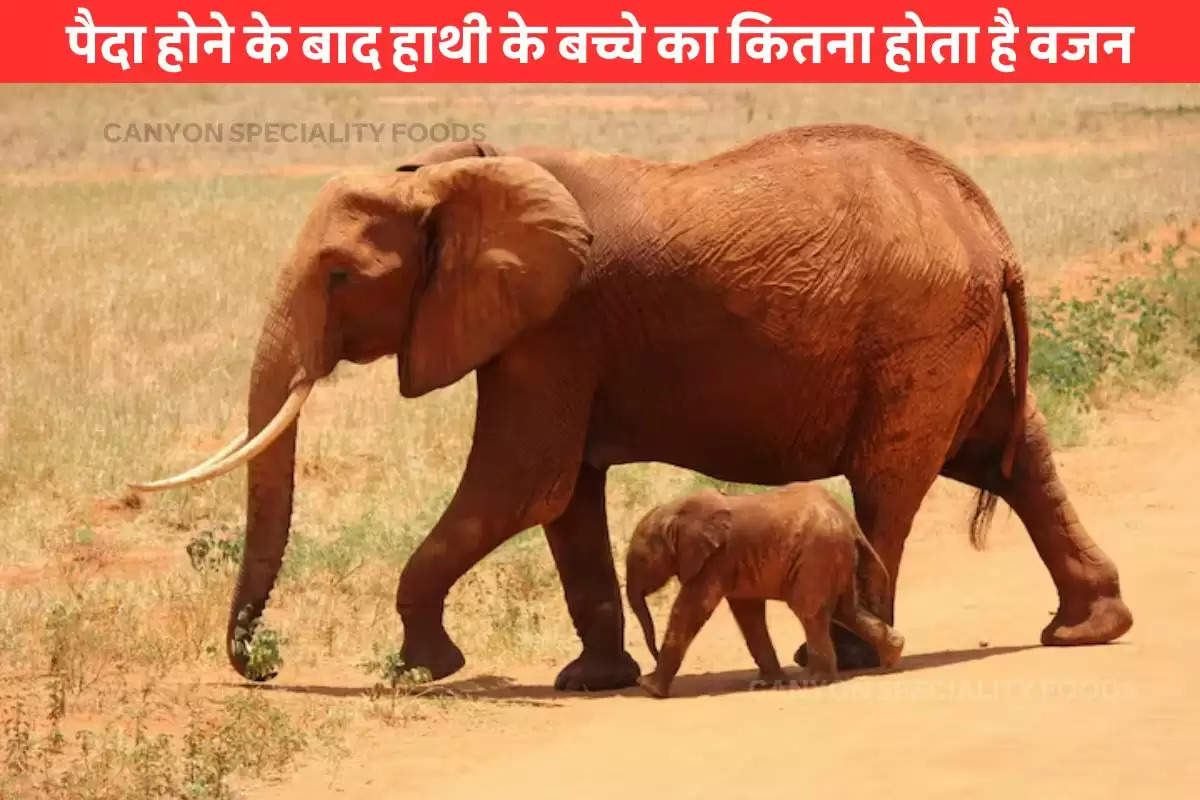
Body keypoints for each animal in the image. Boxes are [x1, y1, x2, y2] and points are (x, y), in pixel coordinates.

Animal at [628, 482, 902, 700]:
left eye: (641, 560)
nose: (651, 657)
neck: (676, 511)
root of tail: (849, 522)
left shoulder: (715, 560)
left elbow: (690, 609)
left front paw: (649, 688)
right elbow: (748, 614)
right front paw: (768, 683)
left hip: (817, 557)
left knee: (810, 612)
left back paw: (813, 680)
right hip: (835, 557)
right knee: (845, 610)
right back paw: (892, 656)